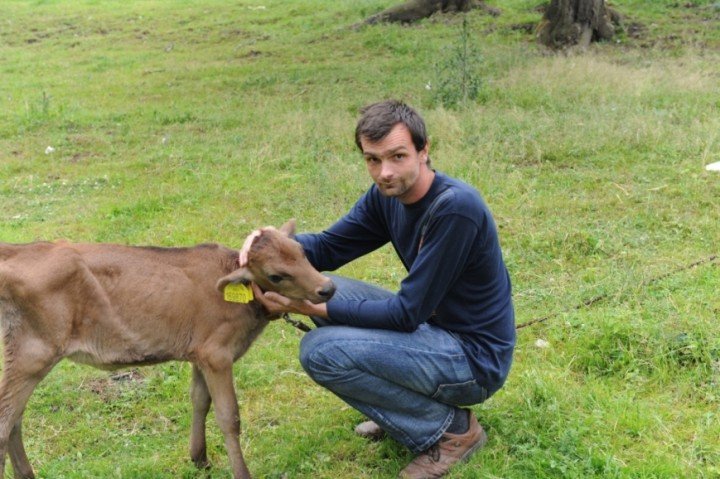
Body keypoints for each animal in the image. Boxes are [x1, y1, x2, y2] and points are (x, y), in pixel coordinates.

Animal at [0, 220, 334, 479]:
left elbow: (199, 400)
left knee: (15, 419)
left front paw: (199, 458)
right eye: (277, 275)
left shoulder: (200, 352)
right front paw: (241, 472)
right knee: (6, 420)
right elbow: (229, 417)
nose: (327, 288)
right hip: (34, 352)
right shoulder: (217, 353)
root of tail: (17, 250)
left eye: (301, 253)